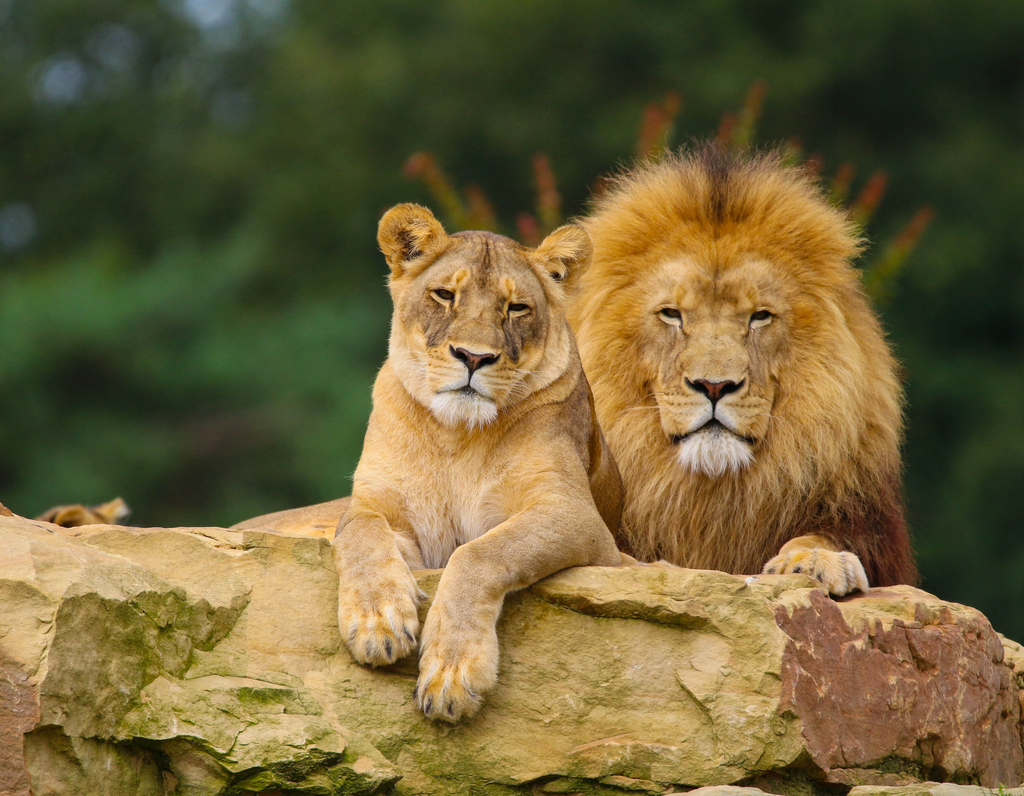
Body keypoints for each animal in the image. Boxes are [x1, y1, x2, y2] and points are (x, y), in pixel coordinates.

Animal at [238, 203, 623, 722]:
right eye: (445, 295)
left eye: (516, 307)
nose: (473, 358)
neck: (454, 435)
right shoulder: (376, 506)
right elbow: (359, 535)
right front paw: (378, 623)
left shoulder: (581, 520)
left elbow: (479, 553)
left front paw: (453, 674)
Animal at [568, 146, 918, 595]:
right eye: (672, 314)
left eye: (759, 316)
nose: (714, 386)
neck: (710, 494)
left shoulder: (868, 525)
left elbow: (823, 536)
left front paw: (816, 559)